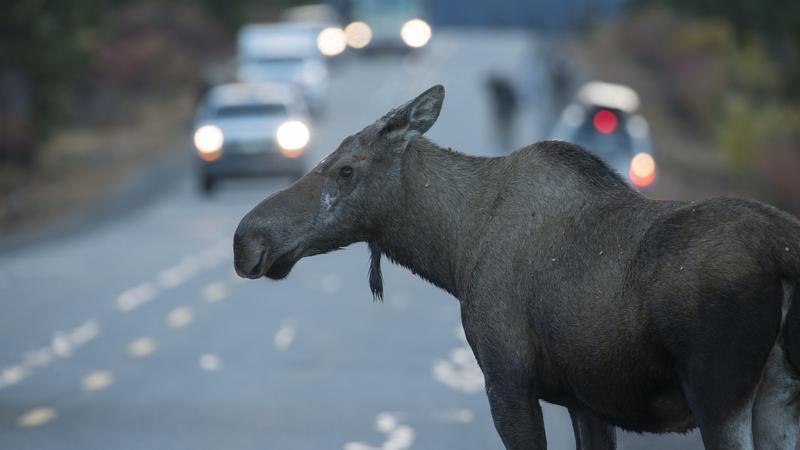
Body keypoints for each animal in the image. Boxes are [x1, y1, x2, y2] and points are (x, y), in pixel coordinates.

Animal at [234, 85, 800, 450]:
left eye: (346, 170)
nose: (246, 239)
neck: (454, 249)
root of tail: (784, 251)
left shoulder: (507, 377)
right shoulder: (584, 400)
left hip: (719, 393)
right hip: (778, 398)